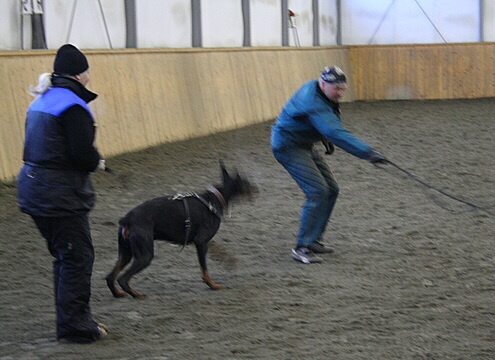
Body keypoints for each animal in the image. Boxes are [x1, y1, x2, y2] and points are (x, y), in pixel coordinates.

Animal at [107, 164, 258, 298]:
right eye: (246, 182)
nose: (257, 189)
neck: (215, 199)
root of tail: (127, 219)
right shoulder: (201, 241)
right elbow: (204, 269)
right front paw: (212, 285)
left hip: (126, 253)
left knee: (110, 277)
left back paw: (118, 294)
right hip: (145, 255)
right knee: (122, 279)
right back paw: (137, 295)